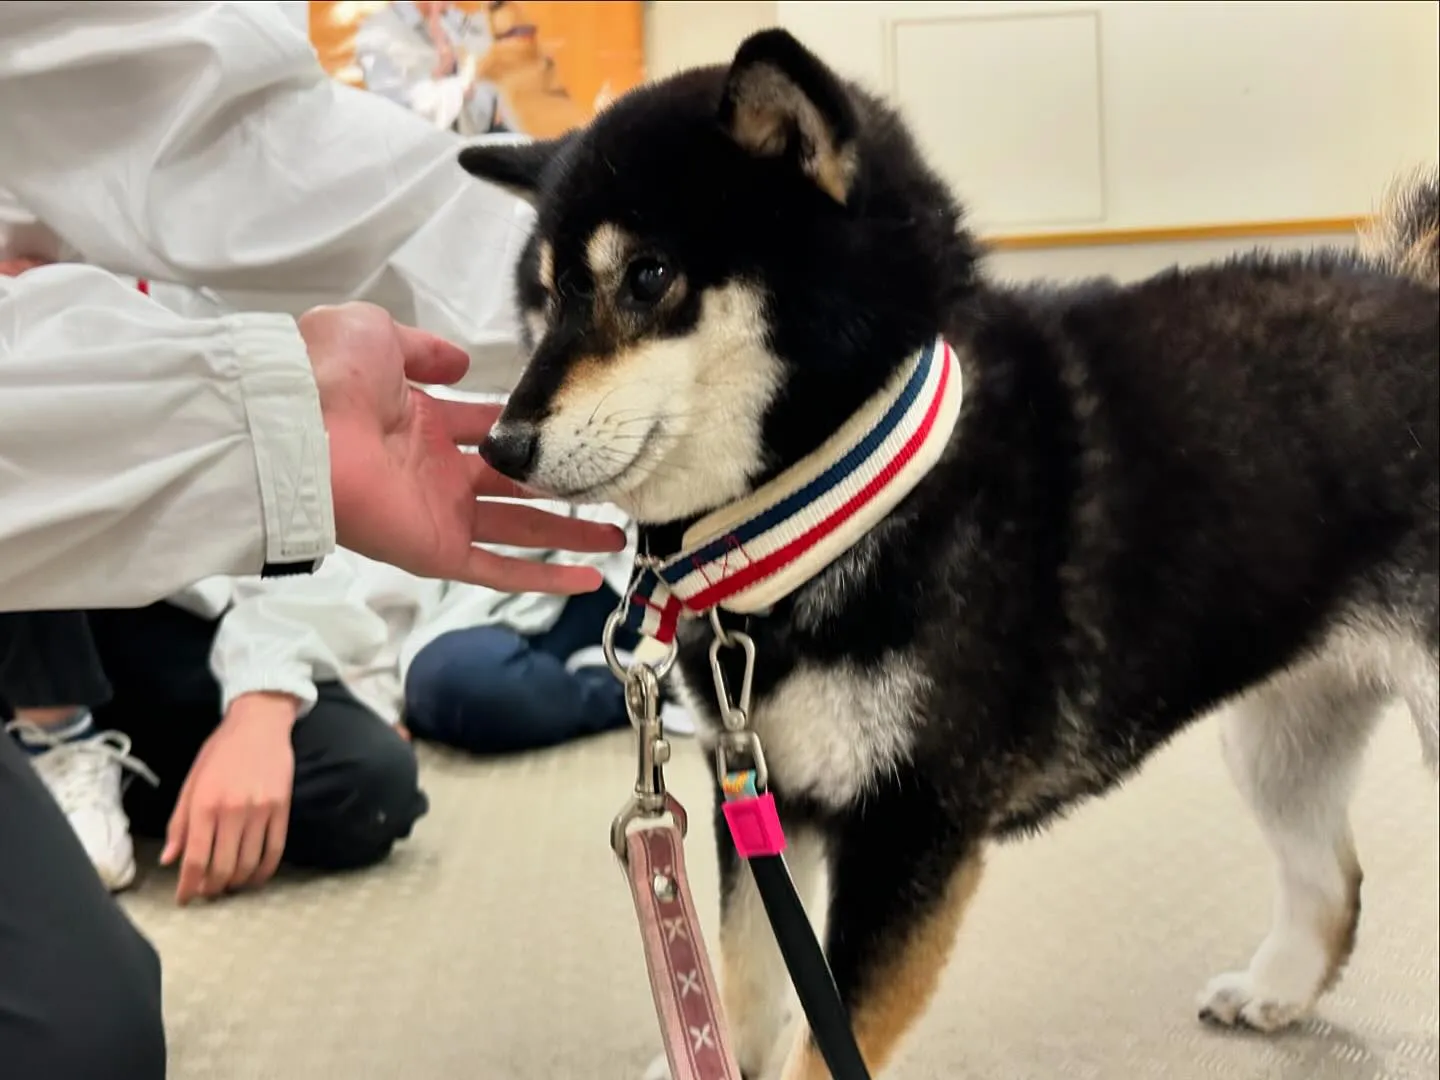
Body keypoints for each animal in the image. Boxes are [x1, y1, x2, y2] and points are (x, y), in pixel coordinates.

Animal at [455, 31, 1434, 1080]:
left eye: (645, 277)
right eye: (541, 302)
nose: (501, 445)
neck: (827, 514)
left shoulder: (912, 825)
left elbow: (826, 1038)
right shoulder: (758, 788)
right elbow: (744, 981)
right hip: (1281, 735)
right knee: (1333, 881)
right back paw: (1273, 991)